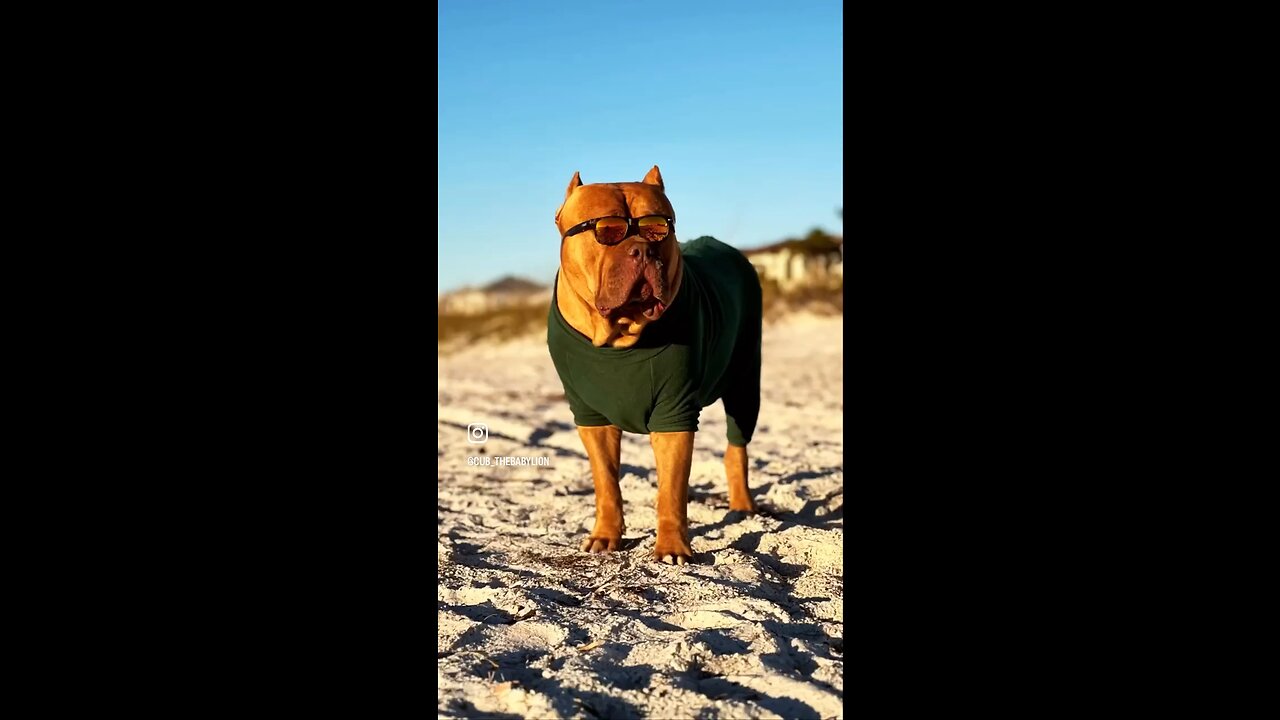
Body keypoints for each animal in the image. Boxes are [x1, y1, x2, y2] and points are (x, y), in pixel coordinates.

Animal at [547, 165, 762, 563]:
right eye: (609, 230)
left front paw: (672, 546)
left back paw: (743, 505)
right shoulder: (590, 417)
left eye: (657, 228)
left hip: (745, 380)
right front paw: (606, 534)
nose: (643, 250)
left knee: (736, 447)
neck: (619, 337)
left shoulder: (674, 413)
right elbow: (606, 482)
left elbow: (671, 490)